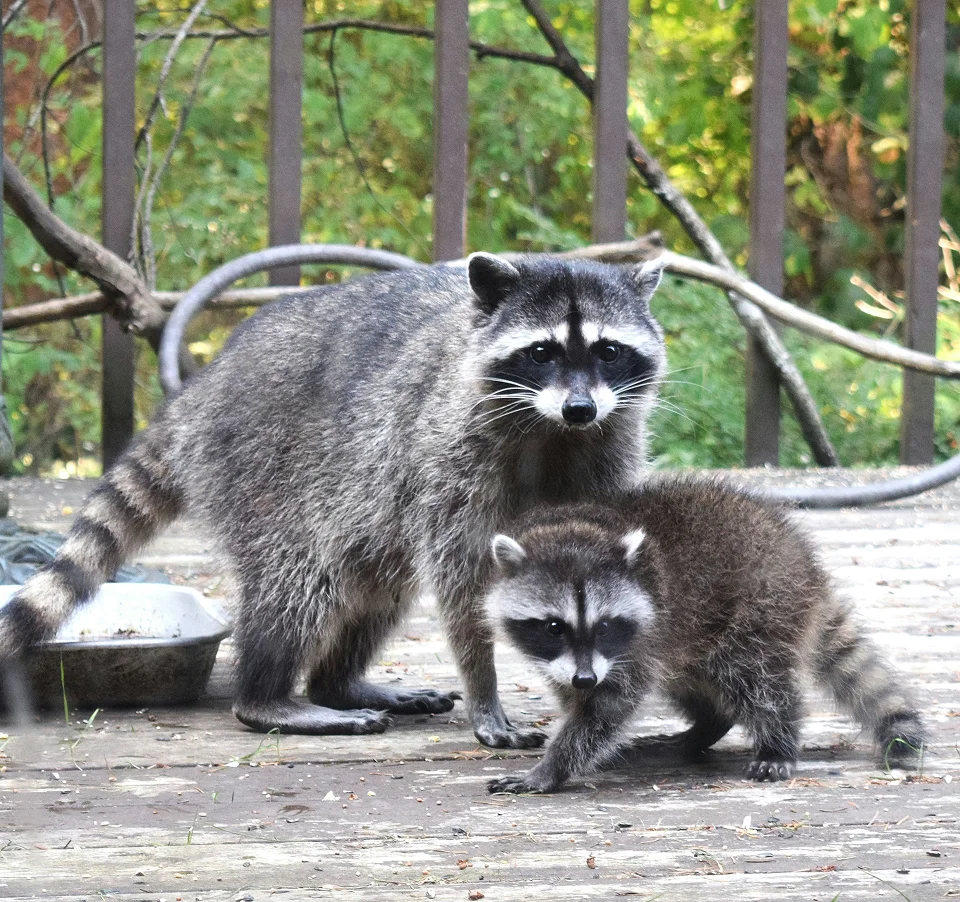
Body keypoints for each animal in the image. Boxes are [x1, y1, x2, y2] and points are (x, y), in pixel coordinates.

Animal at [0, 253, 667, 747]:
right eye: (542, 352)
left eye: (608, 350)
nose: (579, 407)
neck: (552, 430)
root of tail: (206, 385)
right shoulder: (448, 450)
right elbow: (462, 582)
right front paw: (486, 689)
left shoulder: (608, 448)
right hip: (259, 465)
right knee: (298, 583)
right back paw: (269, 697)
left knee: (376, 584)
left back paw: (336, 683)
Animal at [485, 476, 924, 791]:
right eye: (553, 627)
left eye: (605, 625)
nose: (585, 678)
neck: (576, 530)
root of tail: (807, 567)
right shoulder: (575, 659)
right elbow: (579, 696)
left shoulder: (636, 643)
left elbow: (606, 707)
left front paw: (553, 766)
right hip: (695, 633)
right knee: (690, 679)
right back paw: (705, 727)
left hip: (763, 605)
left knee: (754, 677)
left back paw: (777, 740)